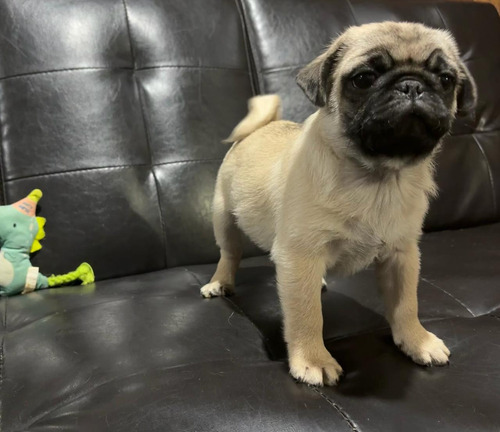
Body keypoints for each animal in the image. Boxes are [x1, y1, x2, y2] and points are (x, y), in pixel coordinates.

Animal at [199, 22, 476, 386]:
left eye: (445, 79)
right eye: (363, 78)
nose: (412, 84)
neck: (376, 176)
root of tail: (263, 126)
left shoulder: (402, 255)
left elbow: (406, 304)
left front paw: (417, 341)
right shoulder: (298, 254)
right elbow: (306, 314)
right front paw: (312, 359)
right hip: (224, 216)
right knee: (230, 253)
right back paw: (221, 282)